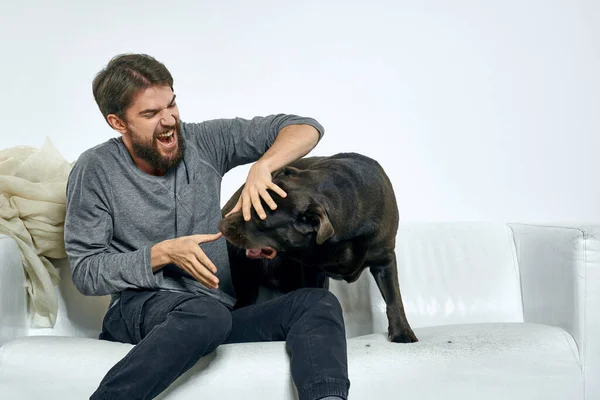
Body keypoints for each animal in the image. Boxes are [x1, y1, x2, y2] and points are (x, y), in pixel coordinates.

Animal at [219, 152, 418, 342]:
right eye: (247, 202)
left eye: (260, 220)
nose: (221, 225)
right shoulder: (311, 269)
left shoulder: (384, 258)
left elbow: (393, 297)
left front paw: (402, 332)